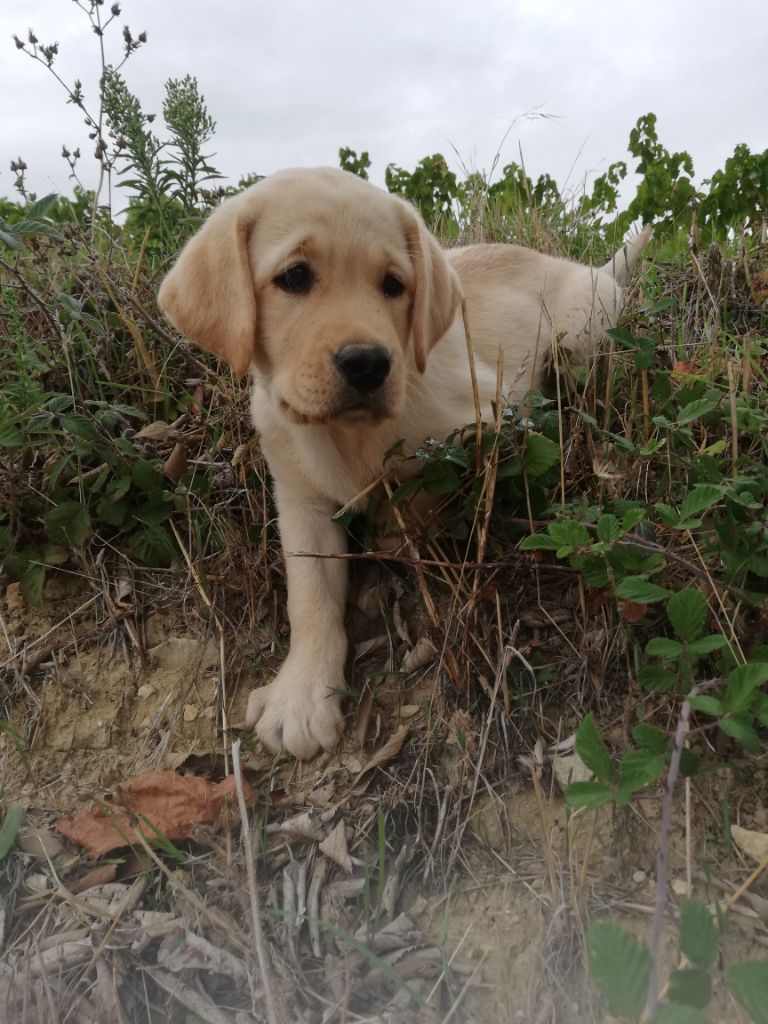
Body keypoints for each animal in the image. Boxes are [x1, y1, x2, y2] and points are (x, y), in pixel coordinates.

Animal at [159, 167, 651, 761]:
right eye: (294, 277)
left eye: (393, 284)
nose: (368, 364)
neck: (345, 434)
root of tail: (593, 269)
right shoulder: (298, 497)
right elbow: (309, 595)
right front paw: (302, 693)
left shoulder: (488, 420)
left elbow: (417, 494)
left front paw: (391, 528)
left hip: (578, 337)